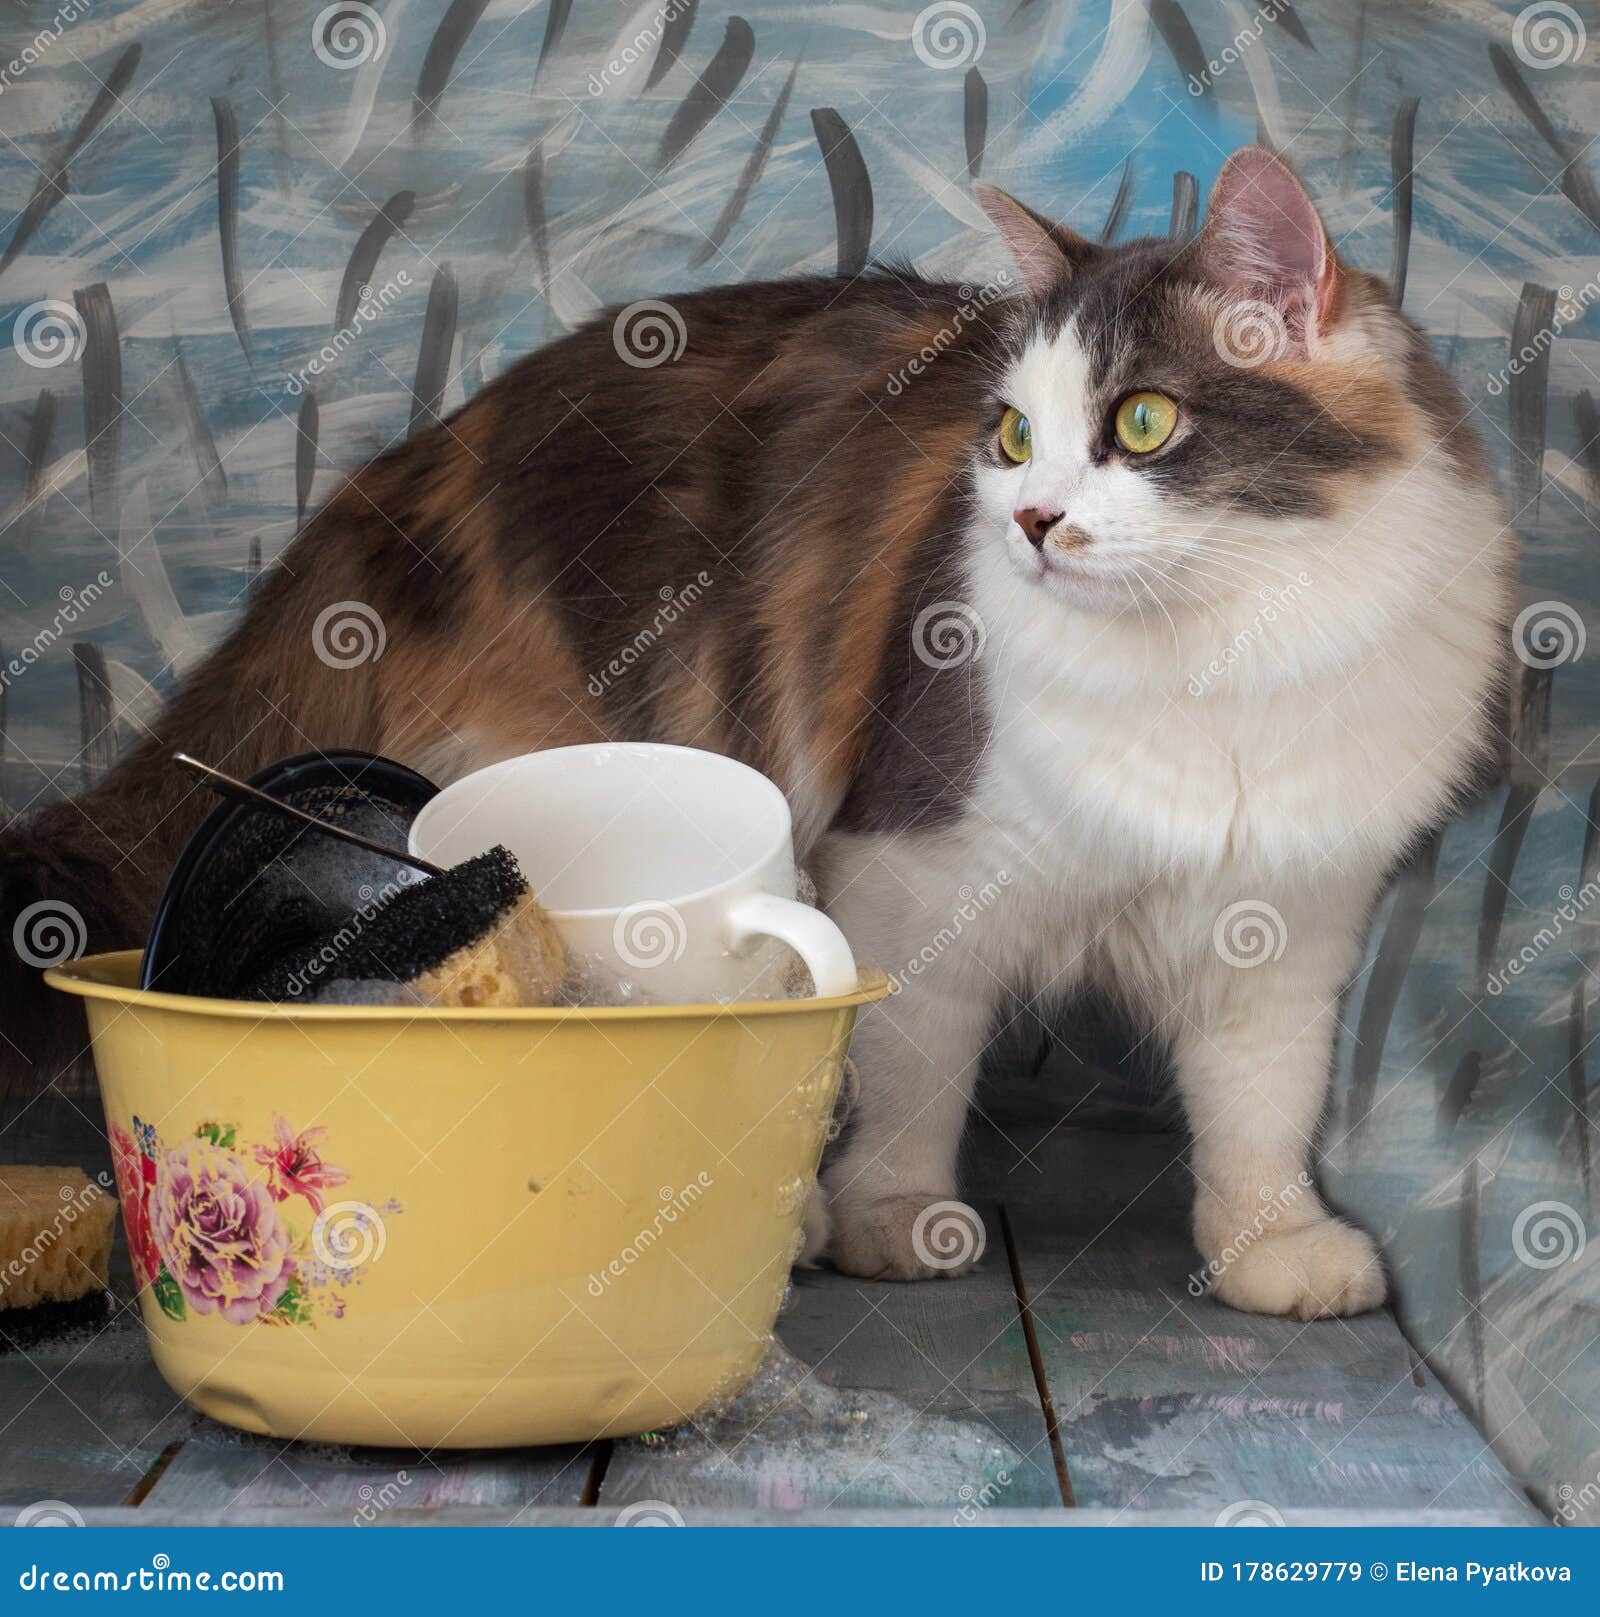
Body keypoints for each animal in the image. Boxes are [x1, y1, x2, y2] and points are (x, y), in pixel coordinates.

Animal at [3, 148, 1507, 1313]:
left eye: (1142, 422)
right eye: (1015, 437)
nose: (1029, 523)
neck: (1217, 658)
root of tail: (410, 461)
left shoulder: (1289, 921)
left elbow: (1261, 1108)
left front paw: (1269, 1245)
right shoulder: (917, 866)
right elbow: (912, 1072)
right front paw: (895, 1217)